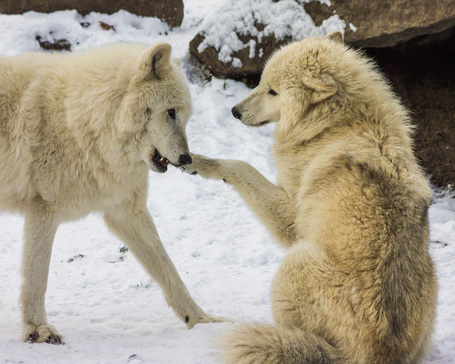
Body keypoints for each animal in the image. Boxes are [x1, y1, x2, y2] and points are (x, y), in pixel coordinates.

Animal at [0, 42, 223, 344]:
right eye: (170, 113)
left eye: (184, 117)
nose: (187, 159)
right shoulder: (43, 210)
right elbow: (37, 275)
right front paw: (38, 329)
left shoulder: (126, 211)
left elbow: (169, 270)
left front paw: (201, 320)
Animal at [183, 32, 440, 364]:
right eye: (261, 83)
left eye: (273, 92)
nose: (234, 111)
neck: (333, 124)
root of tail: (373, 353)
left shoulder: (290, 220)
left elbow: (241, 166)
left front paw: (199, 162)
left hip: (293, 263)